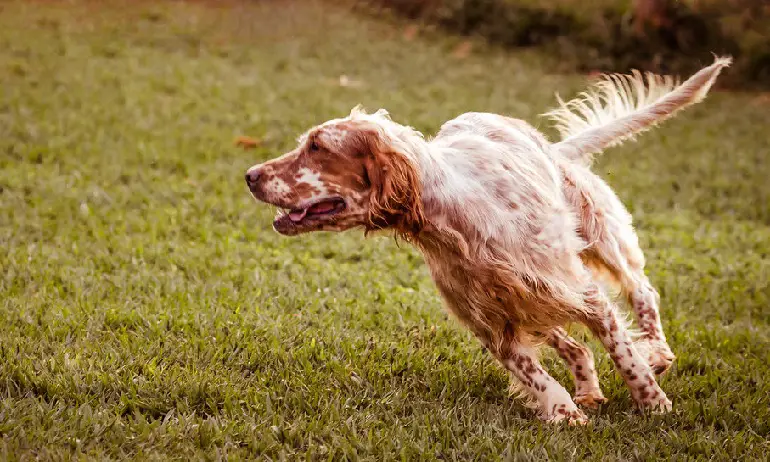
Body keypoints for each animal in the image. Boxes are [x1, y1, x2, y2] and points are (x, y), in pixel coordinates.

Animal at [244, 56, 728, 422]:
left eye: (318, 147)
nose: (250, 175)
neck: (453, 221)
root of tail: (551, 147)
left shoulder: (581, 292)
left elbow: (622, 351)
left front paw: (653, 402)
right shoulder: (491, 321)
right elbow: (532, 372)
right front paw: (564, 413)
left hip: (599, 238)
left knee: (642, 292)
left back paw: (658, 352)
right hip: (535, 303)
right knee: (572, 346)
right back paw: (588, 390)